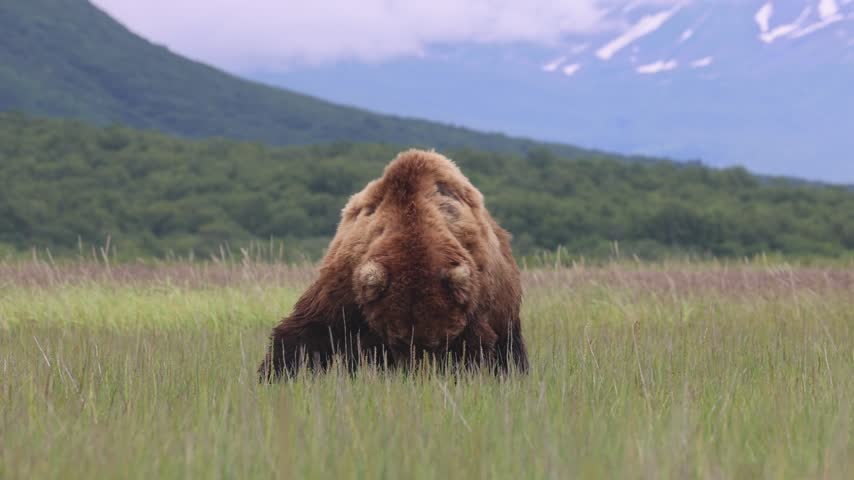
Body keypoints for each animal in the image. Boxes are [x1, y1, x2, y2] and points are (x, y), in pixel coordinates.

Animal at [258, 149, 528, 381]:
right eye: (398, 339)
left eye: (439, 341)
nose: (415, 372)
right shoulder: (348, 277)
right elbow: (310, 328)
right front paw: (273, 376)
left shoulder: (472, 297)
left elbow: (474, 347)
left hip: (504, 304)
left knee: (509, 349)